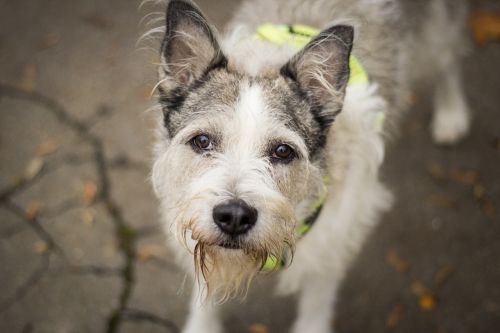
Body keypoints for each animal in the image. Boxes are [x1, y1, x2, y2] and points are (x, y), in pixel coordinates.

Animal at [148, 0, 468, 330]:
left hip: (435, 28)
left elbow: (315, 308)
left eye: (282, 151)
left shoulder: (330, 244)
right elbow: (206, 298)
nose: (234, 217)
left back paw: (451, 113)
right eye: (202, 141)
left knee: (448, 56)